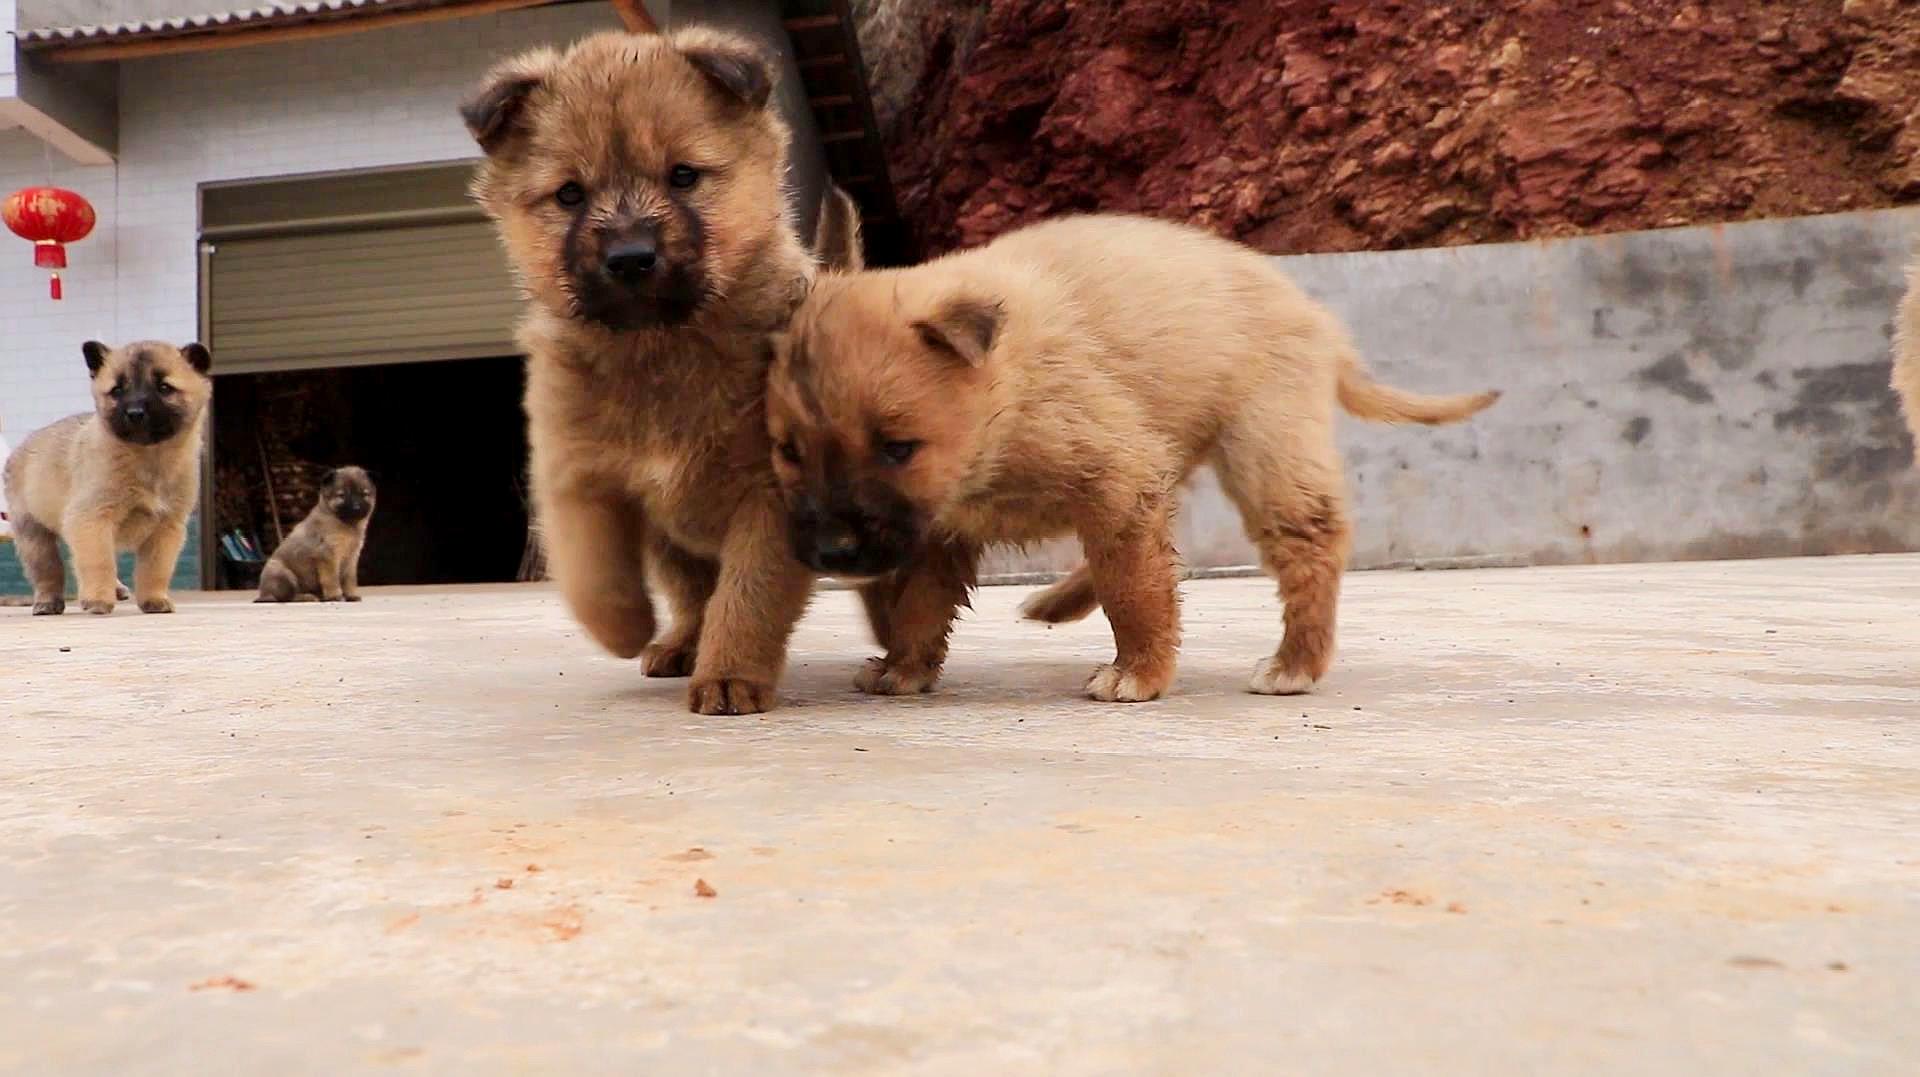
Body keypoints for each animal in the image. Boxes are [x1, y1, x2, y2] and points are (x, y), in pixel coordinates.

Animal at [1, 339, 213, 618]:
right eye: (117, 390)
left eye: (164, 387)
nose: (135, 413)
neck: (147, 457)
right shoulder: (92, 518)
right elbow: (98, 562)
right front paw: (97, 600)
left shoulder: (166, 528)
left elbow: (155, 569)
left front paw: (154, 599)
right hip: (33, 534)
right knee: (48, 571)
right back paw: (48, 602)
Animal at [255, 466, 374, 606]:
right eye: (342, 495)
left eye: (364, 494)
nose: (356, 507)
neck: (344, 522)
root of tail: (264, 594)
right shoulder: (327, 556)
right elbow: (331, 580)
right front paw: (334, 596)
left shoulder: (352, 558)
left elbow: (349, 580)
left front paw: (351, 595)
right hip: (283, 574)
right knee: (286, 597)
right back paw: (307, 597)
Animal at [460, 27, 860, 714]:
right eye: (570, 194)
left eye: (683, 176)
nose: (629, 257)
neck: (658, 349)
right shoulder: (579, 477)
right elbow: (594, 577)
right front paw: (626, 628)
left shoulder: (769, 498)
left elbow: (747, 597)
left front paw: (730, 676)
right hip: (670, 542)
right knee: (692, 596)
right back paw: (677, 644)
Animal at [764, 214, 1497, 702]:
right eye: (789, 452)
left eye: (896, 448)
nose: (832, 554)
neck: (1005, 390)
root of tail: (1318, 320)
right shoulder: (941, 522)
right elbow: (920, 600)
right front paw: (905, 665)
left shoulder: (1116, 471)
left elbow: (1134, 584)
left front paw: (1139, 670)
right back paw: (1057, 602)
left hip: (1266, 444)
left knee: (1309, 544)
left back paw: (1295, 663)